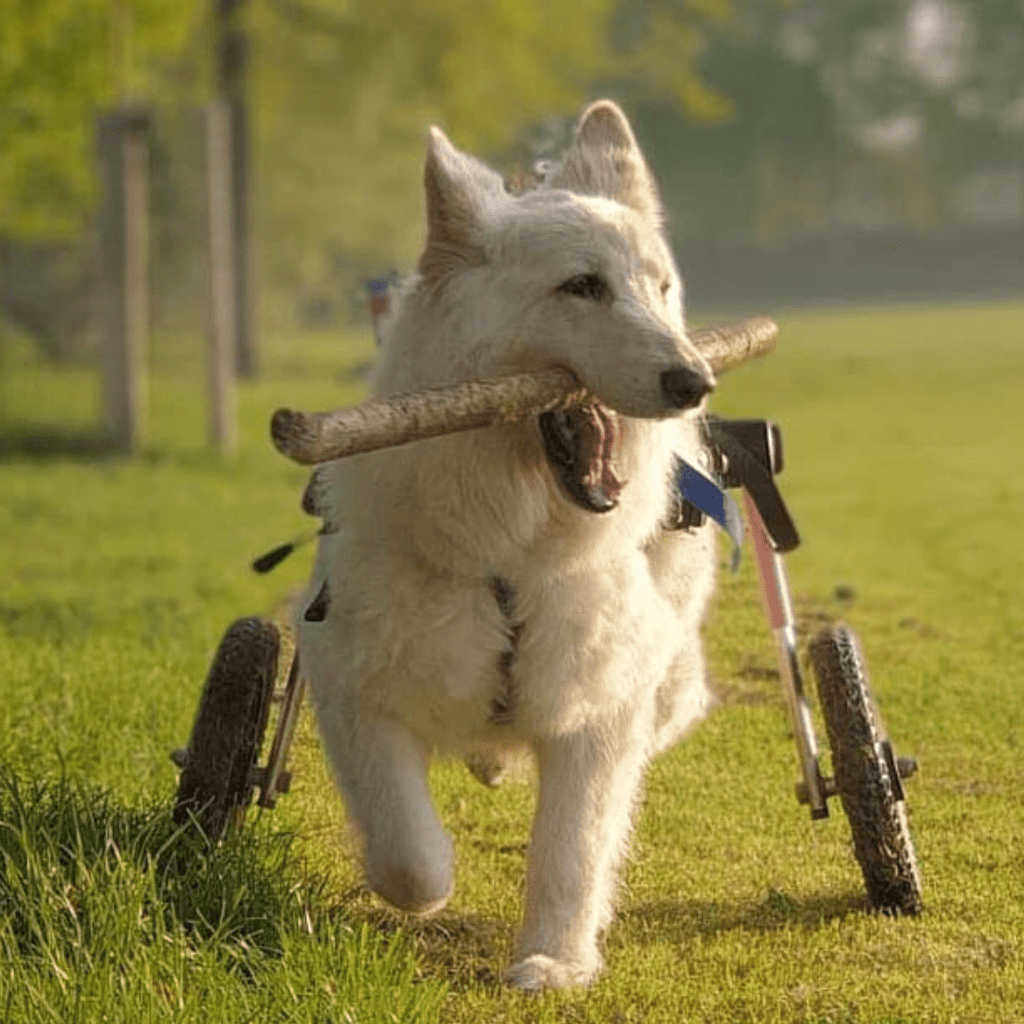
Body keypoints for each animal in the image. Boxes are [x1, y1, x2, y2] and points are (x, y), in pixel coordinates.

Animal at [299, 99, 720, 987]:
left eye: (659, 289)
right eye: (582, 286)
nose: (694, 382)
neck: (511, 561)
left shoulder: (598, 713)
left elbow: (572, 850)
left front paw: (554, 961)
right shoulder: (352, 690)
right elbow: (410, 858)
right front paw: (431, 894)